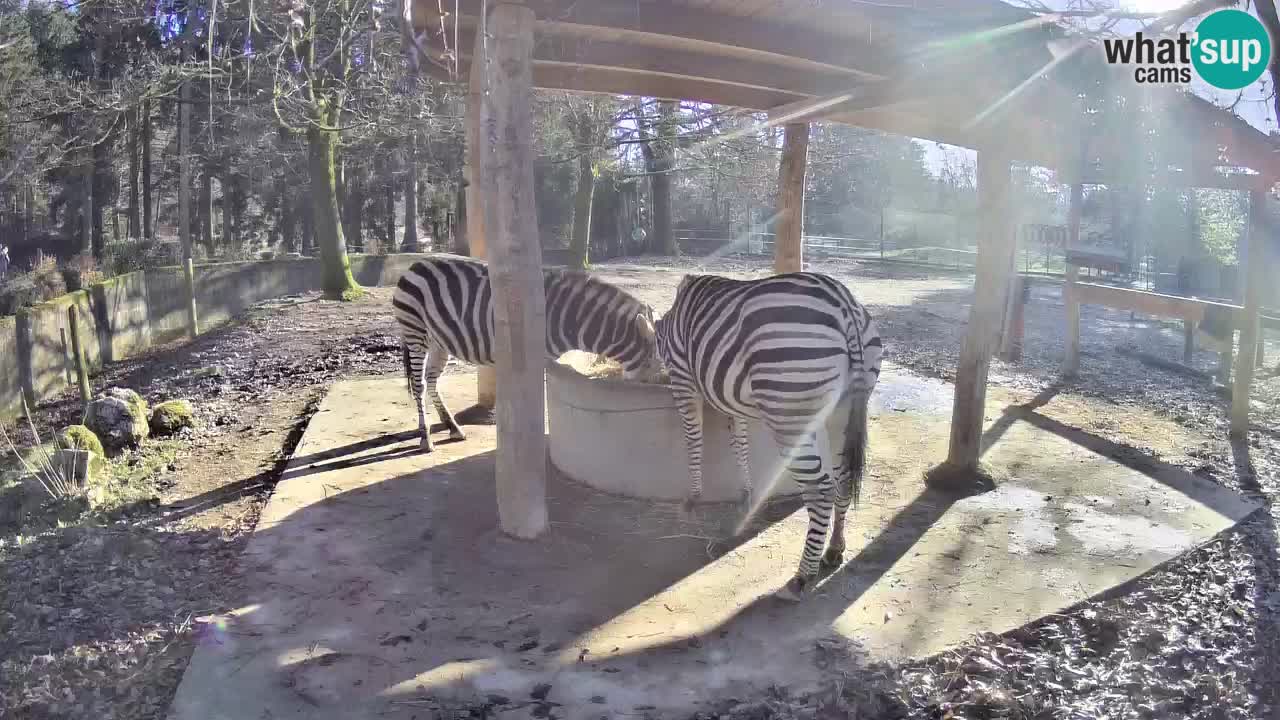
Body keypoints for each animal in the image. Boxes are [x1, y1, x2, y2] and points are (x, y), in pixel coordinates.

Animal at [389, 253, 655, 448]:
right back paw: (425, 438)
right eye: (651, 361)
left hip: (438, 341)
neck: (567, 318)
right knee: (420, 384)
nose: (655, 389)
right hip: (415, 331)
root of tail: (415, 264)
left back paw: (453, 428)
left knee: (432, 380)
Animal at [660, 271, 880, 597]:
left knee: (820, 489)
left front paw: (693, 498)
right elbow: (739, 443)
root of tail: (844, 303)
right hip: (842, 410)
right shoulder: (731, 400)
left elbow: (694, 439)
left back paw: (802, 577)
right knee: (841, 479)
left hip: (790, 410)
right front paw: (746, 493)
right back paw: (834, 549)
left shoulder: (683, 380)